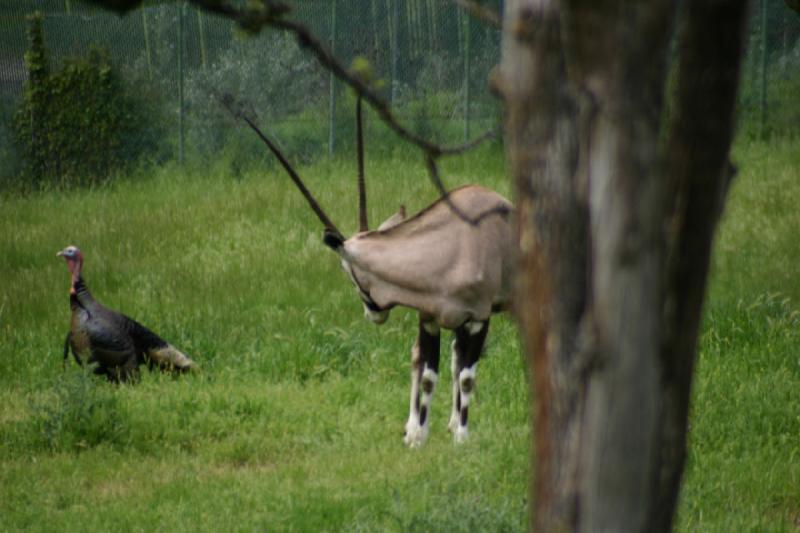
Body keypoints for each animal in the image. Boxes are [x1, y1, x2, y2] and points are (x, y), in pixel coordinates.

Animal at [238, 98, 512, 444]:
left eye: (347, 270)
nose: (372, 314)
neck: (452, 244)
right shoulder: (430, 318)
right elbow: (428, 373)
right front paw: (418, 437)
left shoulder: (478, 319)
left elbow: (466, 377)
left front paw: (461, 438)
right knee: (438, 358)